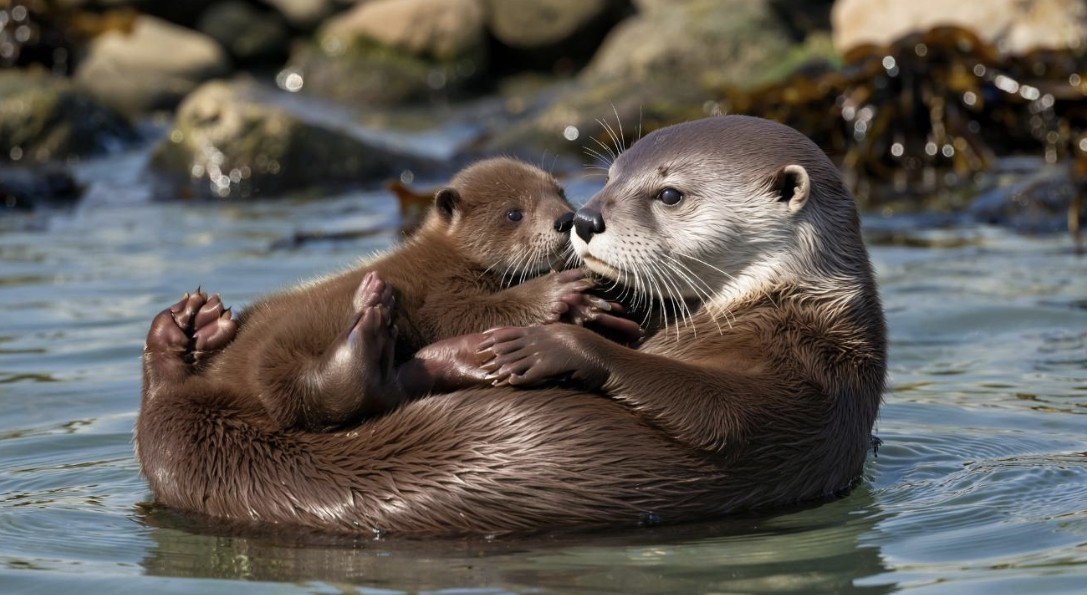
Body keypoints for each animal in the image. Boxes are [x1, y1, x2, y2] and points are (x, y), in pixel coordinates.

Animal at [137, 116, 885, 535]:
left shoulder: (809, 375)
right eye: (609, 174)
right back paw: (189, 328)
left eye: (669, 193)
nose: (586, 218)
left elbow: (721, 410)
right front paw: (572, 308)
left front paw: (555, 339)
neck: (778, 304)